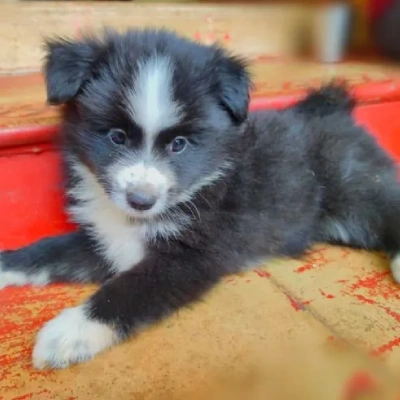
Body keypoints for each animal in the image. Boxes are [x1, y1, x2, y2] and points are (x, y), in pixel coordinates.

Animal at [0, 29, 400, 370]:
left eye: (179, 144)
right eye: (116, 137)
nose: (141, 200)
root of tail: (334, 110)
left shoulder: (191, 257)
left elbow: (126, 291)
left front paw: (69, 332)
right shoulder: (106, 242)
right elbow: (48, 252)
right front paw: (8, 263)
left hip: (354, 187)